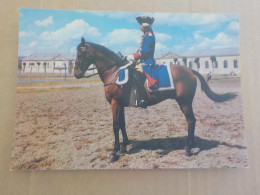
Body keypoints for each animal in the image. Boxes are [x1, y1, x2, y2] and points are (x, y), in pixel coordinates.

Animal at [74, 37, 237, 162]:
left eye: (82, 53)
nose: (76, 74)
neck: (115, 72)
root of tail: (190, 70)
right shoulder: (120, 105)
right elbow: (122, 124)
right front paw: (124, 146)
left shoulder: (115, 103)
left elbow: (115, 126)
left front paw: (114, 152)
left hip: (185, 102)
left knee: (191, 121)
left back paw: (188, 149)